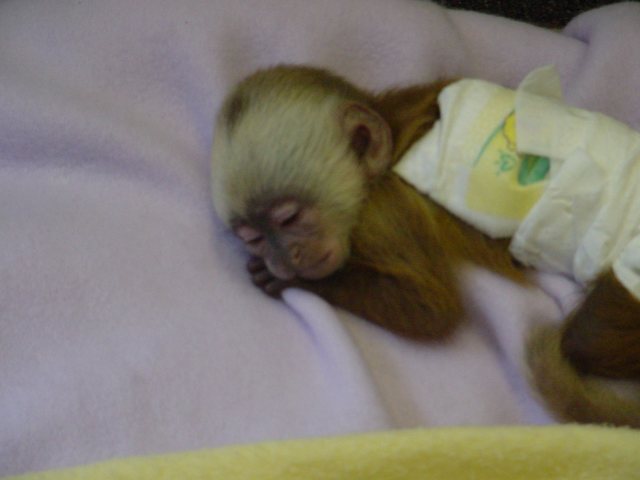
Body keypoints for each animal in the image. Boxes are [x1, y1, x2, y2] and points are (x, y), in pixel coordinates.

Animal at [211, 64, 640, 426]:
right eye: (253, 237)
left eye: (289, 218)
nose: (284, 260)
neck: (396, 141)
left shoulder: (382, 211)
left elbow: (432, 310)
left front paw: (294, 283)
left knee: (585, 338)